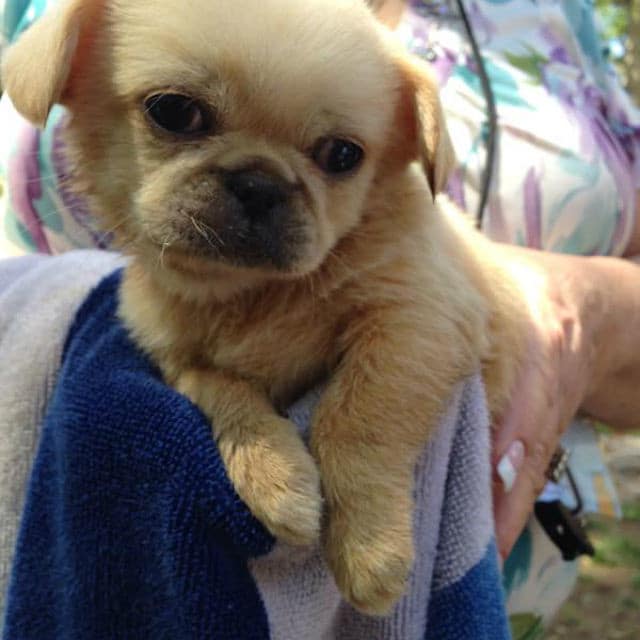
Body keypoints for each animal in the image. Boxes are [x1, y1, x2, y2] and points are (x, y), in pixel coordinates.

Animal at [3, 0, 524, 616]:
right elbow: (220, 388)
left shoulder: (416, 321)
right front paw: (275, 477)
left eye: (342, 155)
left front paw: (371, 548)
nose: (260, 182)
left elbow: (355, 418)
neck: (251, 292)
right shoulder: (175, 356)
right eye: (174, 112)